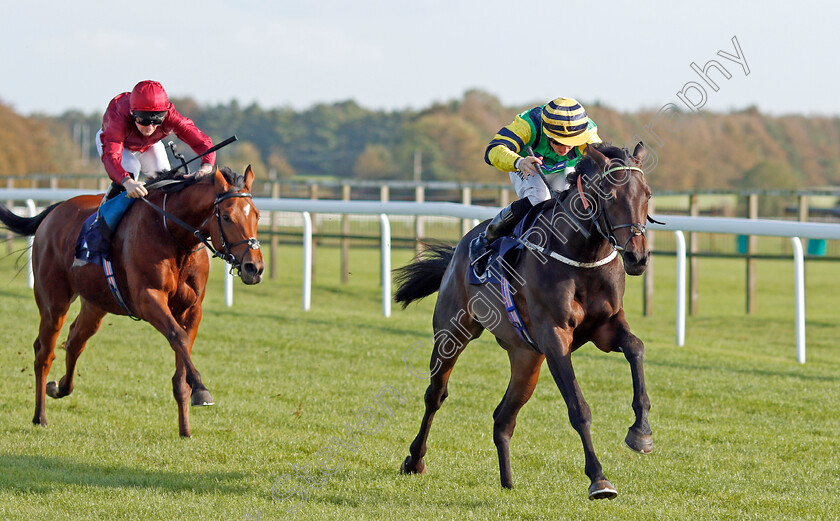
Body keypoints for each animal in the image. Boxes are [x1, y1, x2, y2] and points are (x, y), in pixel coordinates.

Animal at [0, 167, 264, 434]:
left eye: (257, 215)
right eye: (227, 217)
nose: (254, 268)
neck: (172, 233)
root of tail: (55, 210)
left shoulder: (192, 310)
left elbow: (182, 358)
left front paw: (185, 429)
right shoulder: (148, 298)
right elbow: (177, 336)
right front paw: (201, 390)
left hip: (95, 303)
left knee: (75, 341)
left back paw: (59, 387)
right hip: (54, 301)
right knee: (44, 353)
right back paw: (40, 416)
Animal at [392, 142, 648, 500]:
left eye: (647, 195)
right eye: (610, 196)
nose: (637, 257)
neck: (583, 257)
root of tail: (461, 246)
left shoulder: (605, 327)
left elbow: (636, 348)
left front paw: (641, 432)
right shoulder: (555, 338)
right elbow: (578, 408)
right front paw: (598, 479)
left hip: (527, 357)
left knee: (503, 417)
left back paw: (508, 480)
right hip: (453, 332)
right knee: (435, 395)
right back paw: (415, 460)